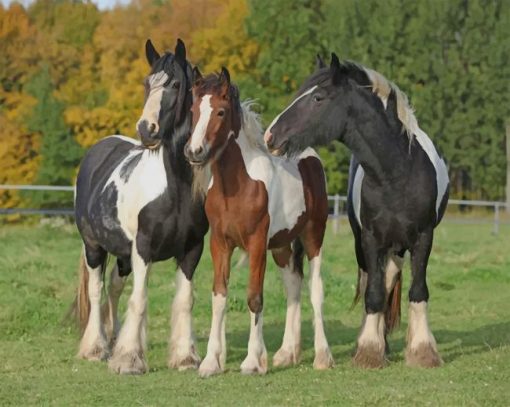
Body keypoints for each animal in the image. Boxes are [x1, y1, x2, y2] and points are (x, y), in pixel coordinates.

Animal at [72, 39, 208, 374]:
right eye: (147, 83)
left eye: (175, 84)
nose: (147, 129)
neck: (176, 189)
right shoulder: (143, 248)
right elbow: (140, 298)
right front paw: (129, 359)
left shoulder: (192, 249)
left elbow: (184, 300)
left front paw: (185, 357)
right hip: (93, 247)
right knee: (96, 290)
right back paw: (95, 348)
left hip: (122, 253)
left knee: (113, 288)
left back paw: (113, 340)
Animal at [184, 69, 334, 380]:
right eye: (193, 111)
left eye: (220, 111)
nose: (194, 151)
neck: (238, 185)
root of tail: (310, 156)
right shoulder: (220, 244)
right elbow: (219, 296)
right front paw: (211, 362)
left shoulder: (255, 244)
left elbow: (254, 297)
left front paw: (253, 362)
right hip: (281, 247)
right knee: (293, 286)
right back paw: (287, 354)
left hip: (313, 236)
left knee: (315, 289)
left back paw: (323, 356)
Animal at [264, 54, 448, 370]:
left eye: (318, 98)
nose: (270, 136)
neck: (398, 173)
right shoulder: (370, 239)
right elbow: (373, 293)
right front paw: (370, 350)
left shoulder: (424, 238)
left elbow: (418, 291)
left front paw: (422, 351)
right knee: (376, 283)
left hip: (399, 247)